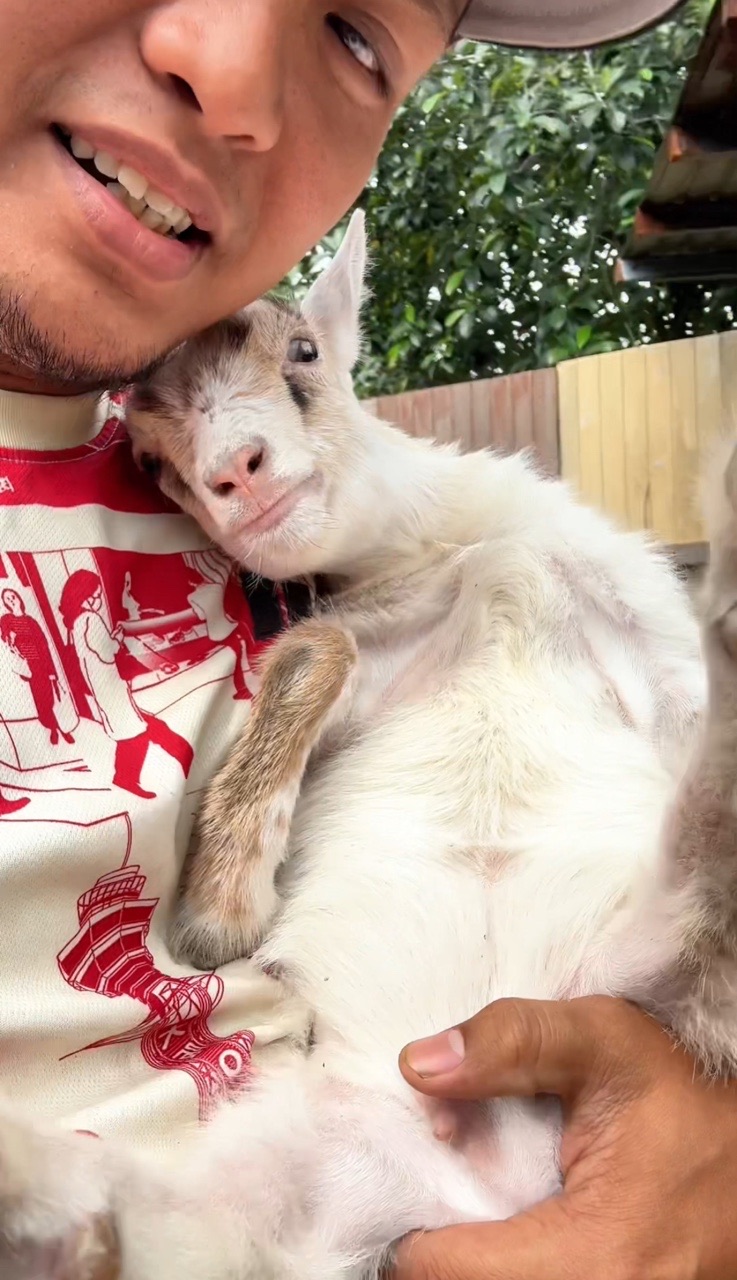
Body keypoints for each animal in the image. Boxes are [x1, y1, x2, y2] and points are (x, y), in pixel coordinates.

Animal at [1, 209, 737, 1280]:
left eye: (304, 351)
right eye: (149, 461)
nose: (233, 473)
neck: (461, 559)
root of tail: (494, 1180)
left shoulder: (631, 617)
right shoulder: (370, 639)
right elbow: (322, 649)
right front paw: (218, 908)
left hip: (669, 977)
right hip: (297, 1164)